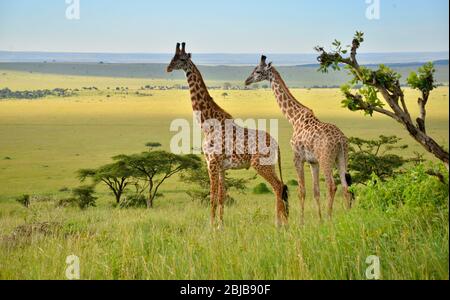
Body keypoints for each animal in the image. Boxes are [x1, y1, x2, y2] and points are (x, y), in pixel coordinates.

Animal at [167, 44, 290, 227]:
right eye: (172, 57)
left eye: (181, 59)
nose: (168, 68)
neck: (206, 124)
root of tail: (277, 144)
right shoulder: (222, 166)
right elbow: (221, 196)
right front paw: (220, 225)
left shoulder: (211, 162)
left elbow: (212, 196)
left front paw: (211, 226)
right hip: (271, 165)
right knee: (281, 186)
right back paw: (282, 221)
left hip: (260, 164)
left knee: (278, 186)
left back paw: (279, 224)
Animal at [244, 55, 354, 225]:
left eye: (257, 71)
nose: (246, 81)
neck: (293, 119)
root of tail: (341, 140)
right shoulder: (313, 162)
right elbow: (315, 191)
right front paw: (319, 221)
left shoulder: (297, 157)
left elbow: (302, 191)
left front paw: (302, 223)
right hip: (342, 157)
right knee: (345, 187)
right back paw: (347, 217)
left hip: (326, 158)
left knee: (332, 186)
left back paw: (330, 218)